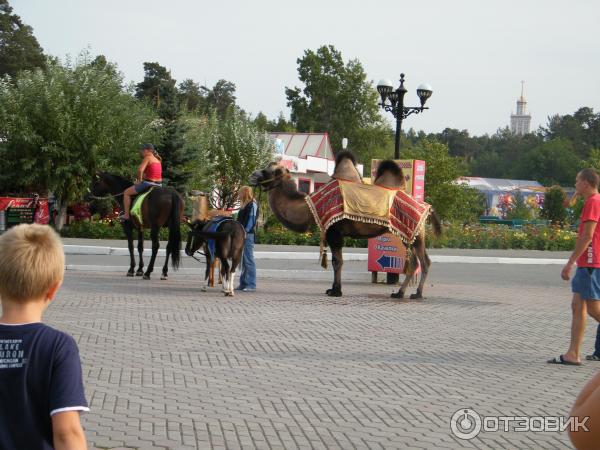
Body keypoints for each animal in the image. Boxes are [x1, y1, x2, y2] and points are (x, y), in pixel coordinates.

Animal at [248, 156, 440, 300]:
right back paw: (399, 293)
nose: (252, 175)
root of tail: (426, 207)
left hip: (415, 233)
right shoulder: (333, 232)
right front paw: (332, 289)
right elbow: (336, 260)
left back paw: (417, 294)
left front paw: (336, 291)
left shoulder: (334, 231)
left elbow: (337, 261)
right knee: (415, 262)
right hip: (408, 235)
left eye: (268, 171)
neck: (310, 206)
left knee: (424, 261)